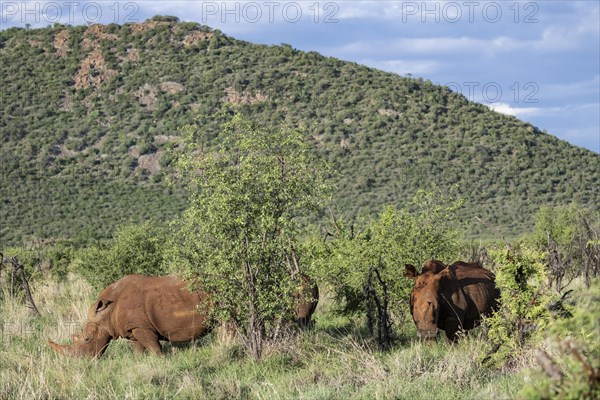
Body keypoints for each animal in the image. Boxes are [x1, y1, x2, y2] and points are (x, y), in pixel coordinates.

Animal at [48, 276, 211, 356]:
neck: (106, 314)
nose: (77, 362)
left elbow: (155, 348)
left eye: (87, 339)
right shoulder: (133, 329)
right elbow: (138, 351)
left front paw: (161, 361)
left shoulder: (142, 326)